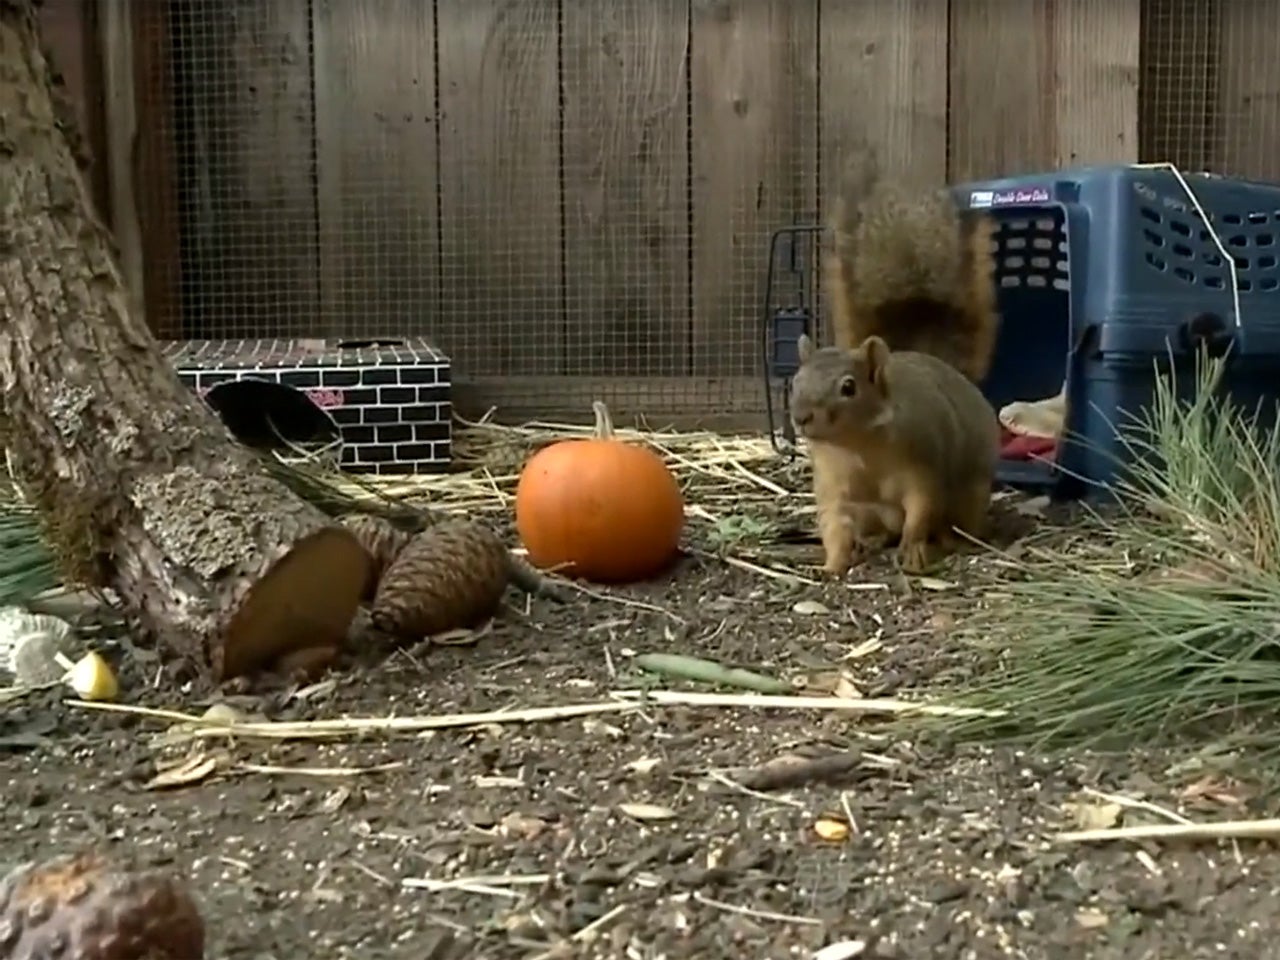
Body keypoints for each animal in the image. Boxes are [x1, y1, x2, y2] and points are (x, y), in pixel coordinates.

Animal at [789, 149, 1002, 576]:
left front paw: (914, 552)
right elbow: (832, 524)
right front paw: (833, 564)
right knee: (877, 527)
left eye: (849, 387)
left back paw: (952, 539)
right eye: (794, 382)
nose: (801, 417)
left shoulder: (923, 467)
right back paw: (872, 540)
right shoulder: (832, 485)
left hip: (971, 492)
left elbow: (921, 512)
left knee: (954, 520)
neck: (859, 448)